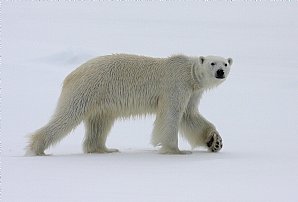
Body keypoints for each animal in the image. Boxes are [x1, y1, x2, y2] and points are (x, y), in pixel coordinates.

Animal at [25, 53, 232, 155]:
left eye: (225, 63)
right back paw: (37, 148)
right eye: (212, 63)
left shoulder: (193, 92)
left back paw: (104, 149)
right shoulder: (176, 85)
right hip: (88, 89)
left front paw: (215, 141)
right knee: (67, 116)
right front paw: (177, 151)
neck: (189, 73)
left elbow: (190, 116)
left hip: (101, 101)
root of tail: (72, 74)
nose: (220, 71)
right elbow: (172, 114)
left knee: (99, 123)